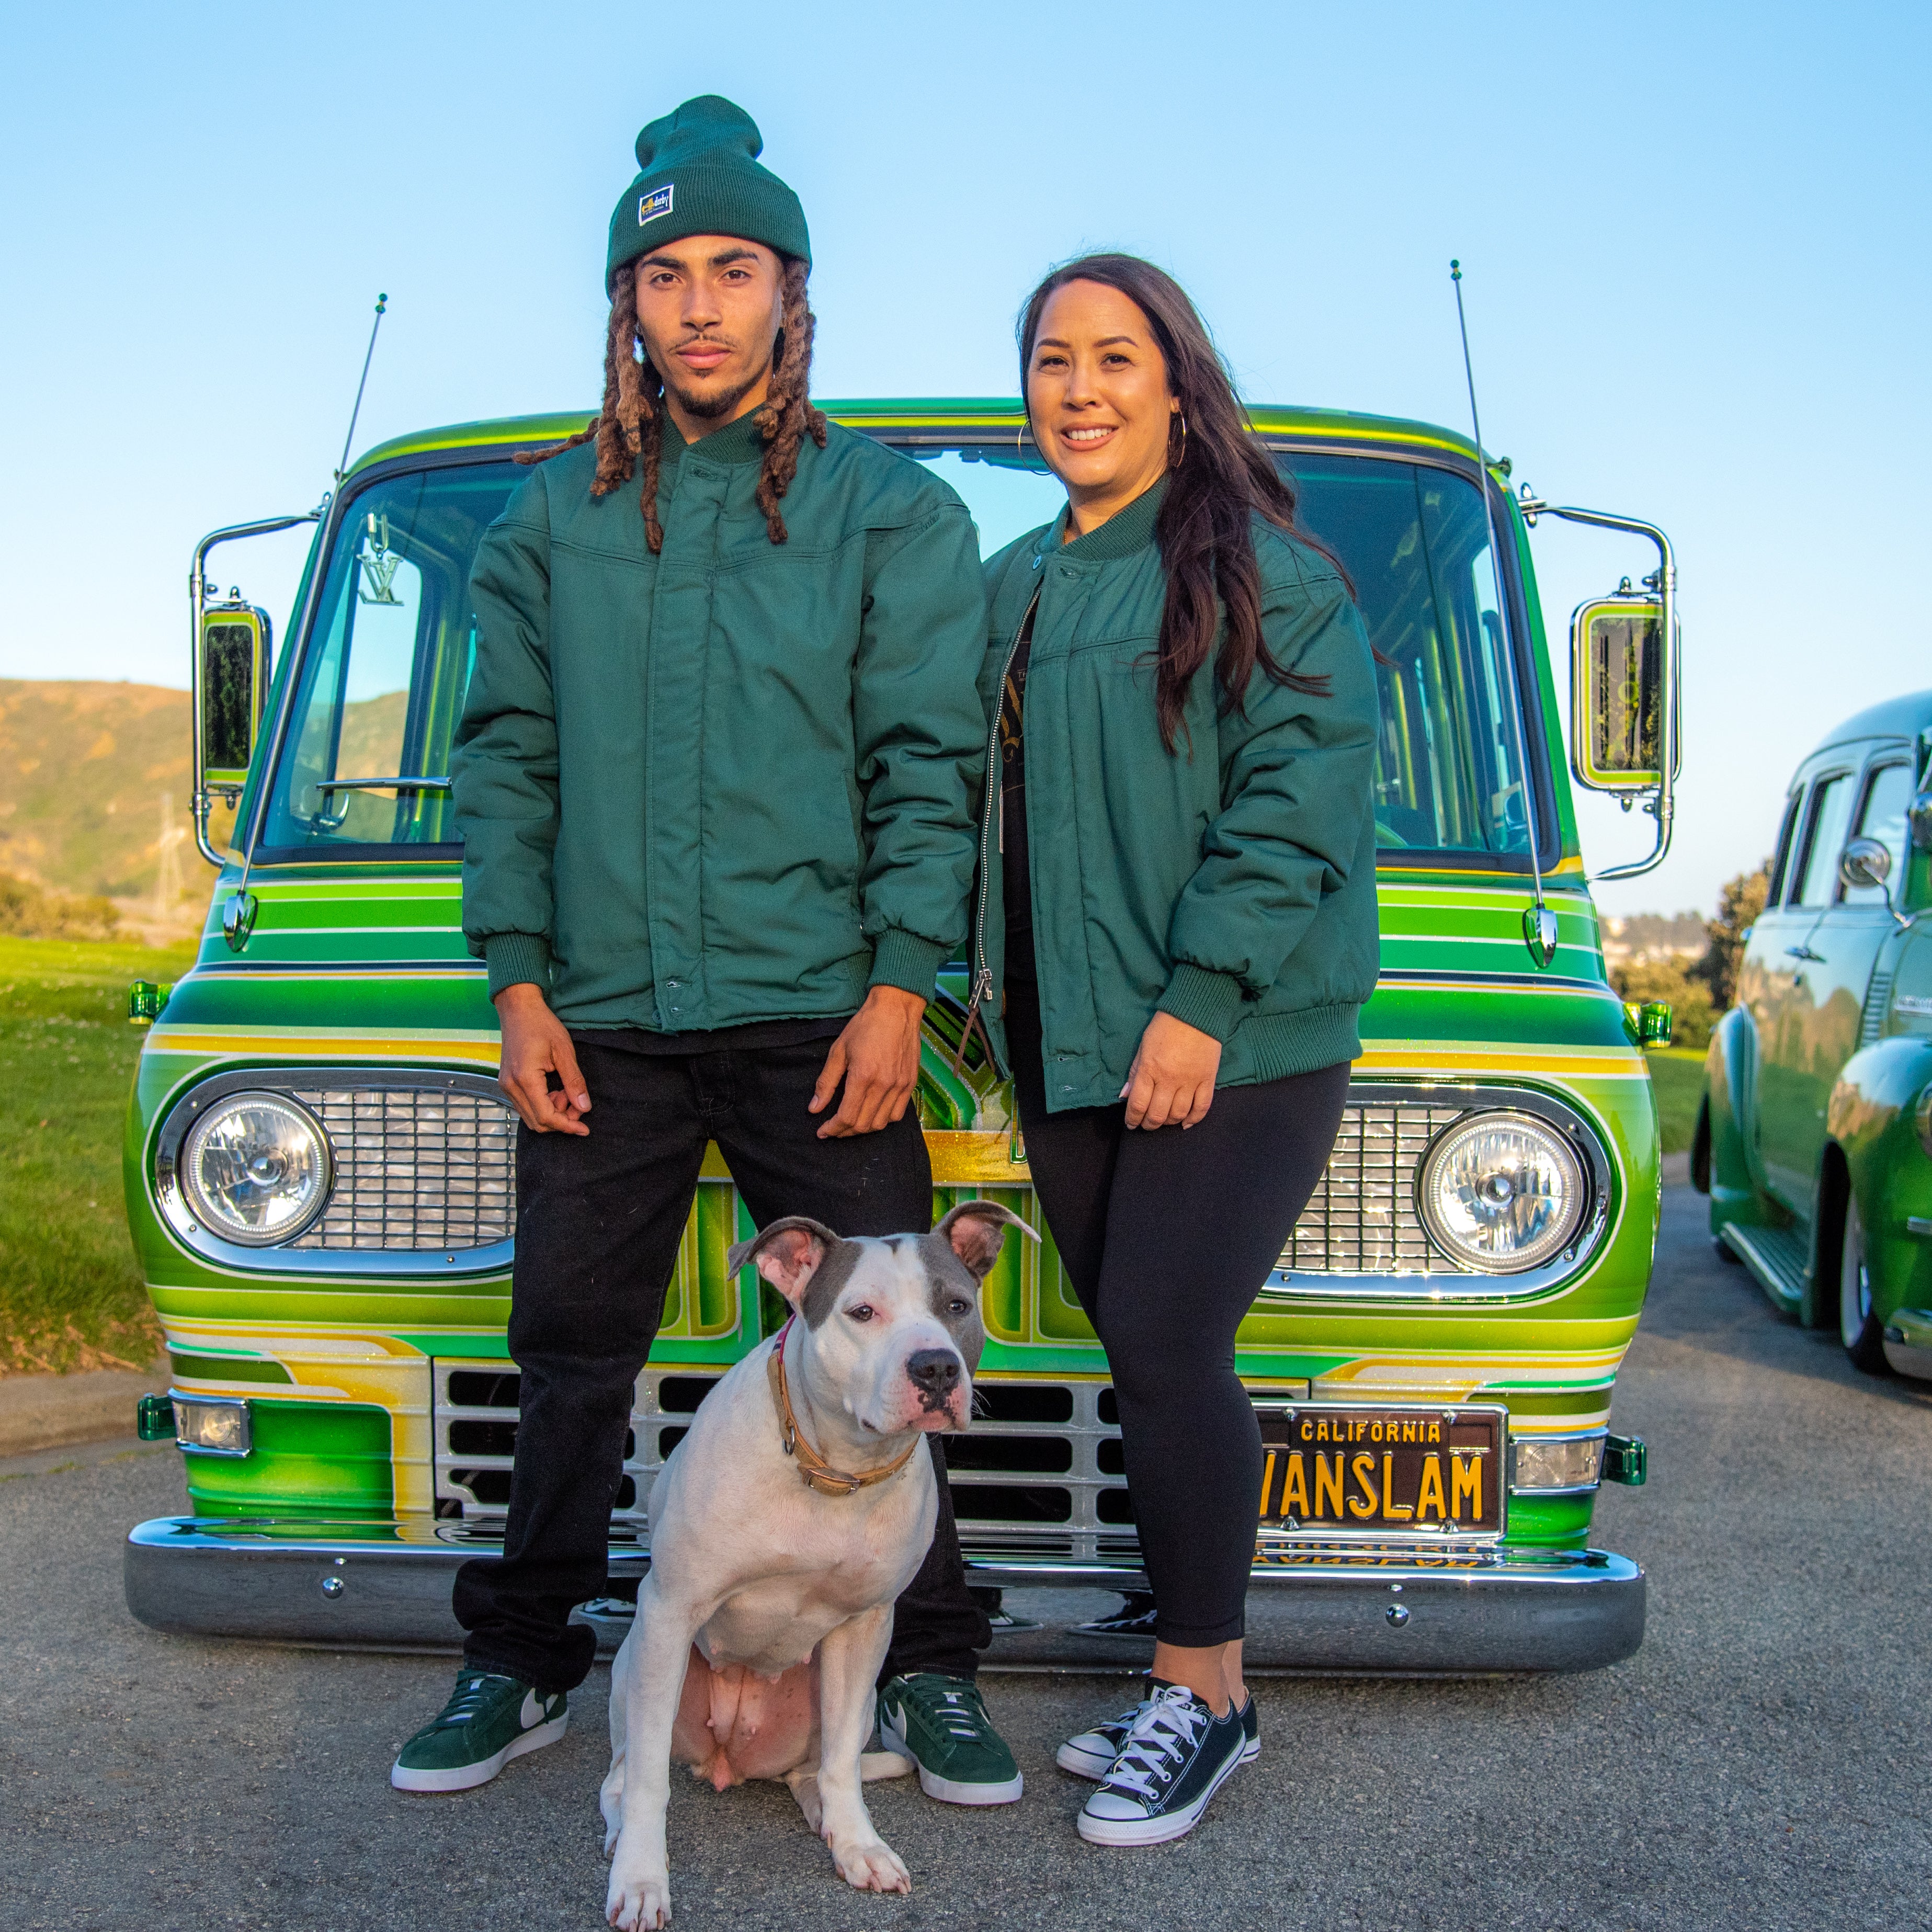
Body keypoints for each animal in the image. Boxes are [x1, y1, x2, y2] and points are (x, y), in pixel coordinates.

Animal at [603, 1198, 1035, 1924]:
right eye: (861, 1312)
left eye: (955, 1305)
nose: (937, 1368)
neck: (835, 1467)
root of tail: (731, 1759)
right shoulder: (670, 1610)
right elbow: (647, 1784)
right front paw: (639, 1880)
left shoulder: (864, 1629)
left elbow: (838, 1766)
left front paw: (859, 1845)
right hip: (634, 1663)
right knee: (625, 1769)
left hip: (839, 1703)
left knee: (816, 1770)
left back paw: (830, 1823)